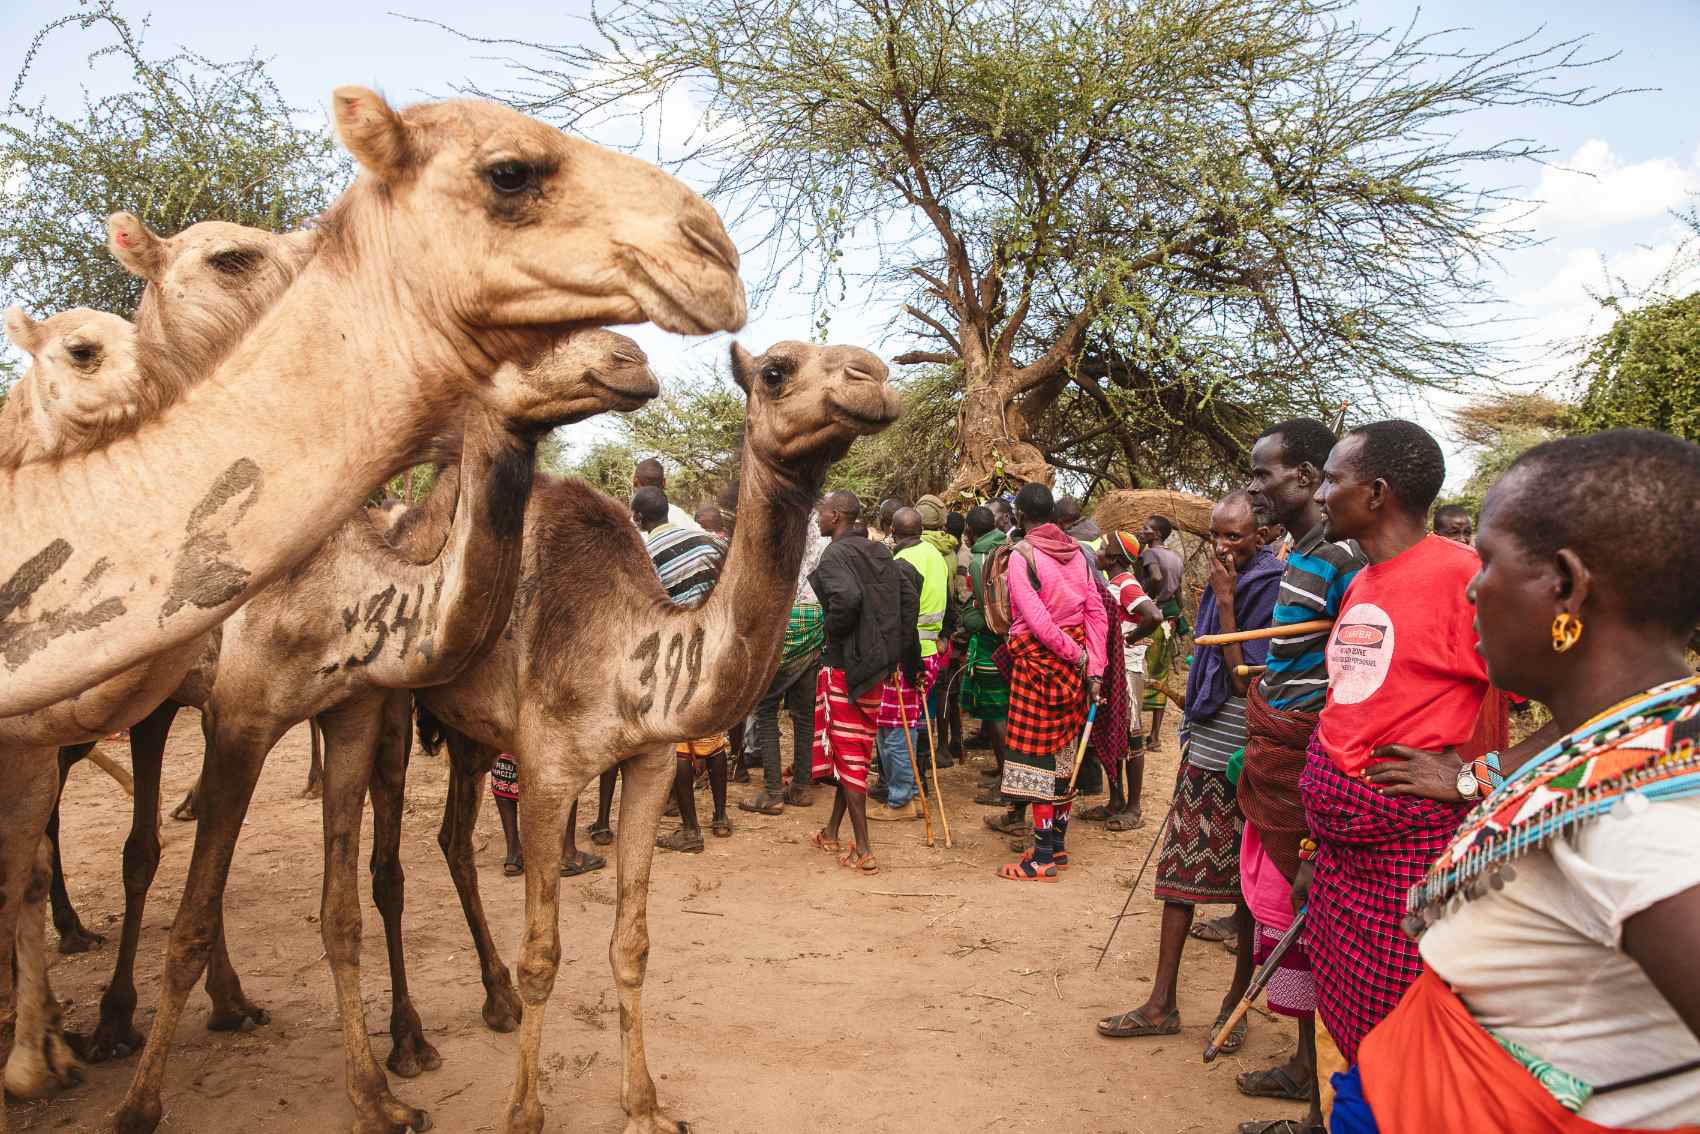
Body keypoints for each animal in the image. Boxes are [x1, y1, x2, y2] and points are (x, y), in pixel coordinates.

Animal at [401, 340, 899, 1134]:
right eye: (775, 372)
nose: (873, 379)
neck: (626, 651)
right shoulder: (547, 773)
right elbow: (543, 954)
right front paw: (524, 1112)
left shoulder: (650, 763)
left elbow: (631, 943)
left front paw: (646, 1105)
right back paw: (405, 1046)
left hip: (469, 733)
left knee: (451, 840)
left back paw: (494, 1001)